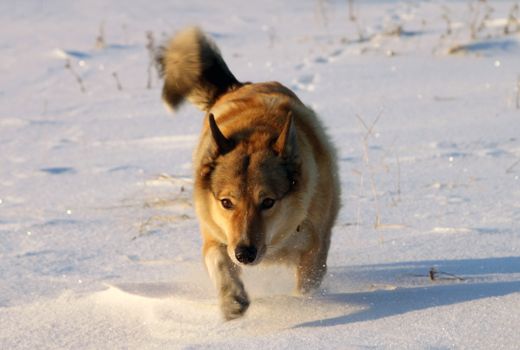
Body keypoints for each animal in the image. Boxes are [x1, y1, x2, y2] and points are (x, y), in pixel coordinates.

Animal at [156, 26, 340, 318]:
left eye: (268, 202)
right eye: (226, 203)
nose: (244, 254)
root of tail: (239, 85)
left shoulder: (315, 250)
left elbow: (306, 286)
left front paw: (302, 306)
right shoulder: (216, 236)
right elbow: (219, 261)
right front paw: (232, 299)